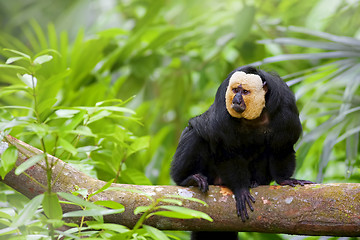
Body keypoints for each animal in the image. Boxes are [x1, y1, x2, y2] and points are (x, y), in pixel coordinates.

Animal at [170, 65, 314, 240]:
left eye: (244, 92)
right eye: (235, 90)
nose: (236, 100)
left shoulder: (285, 111)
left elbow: (281, 148)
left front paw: (284, 179)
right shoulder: (223, 112)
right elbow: (226, 151)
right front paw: (241, 189)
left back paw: (255, 182)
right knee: (196, 132)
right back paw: (188, 179)